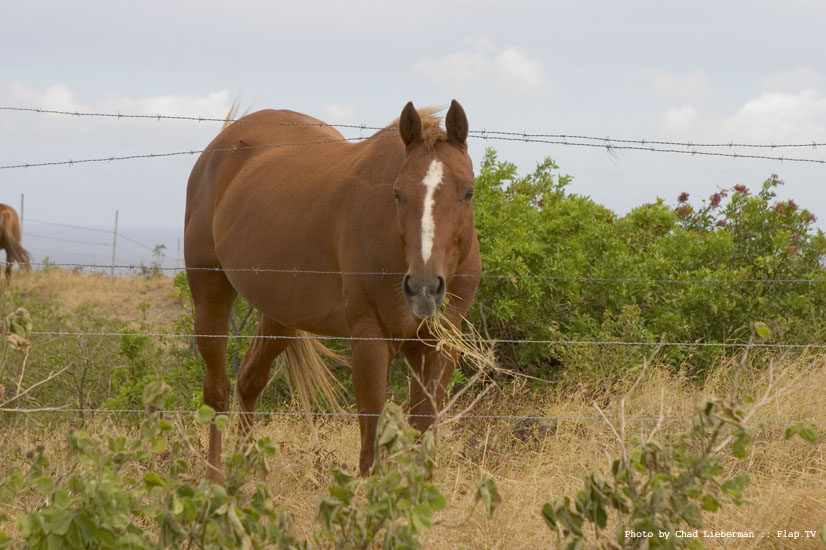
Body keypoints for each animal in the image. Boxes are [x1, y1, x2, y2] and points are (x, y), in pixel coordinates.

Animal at [185, 100, 482, 484]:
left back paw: (249, 471)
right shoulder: (369, 338)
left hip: (281, 316)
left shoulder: (437, 343)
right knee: (217, 392)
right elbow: (371, 433)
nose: (424, 288)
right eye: (397, 193)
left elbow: (423, 426)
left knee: (249, 380)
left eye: (468, 192)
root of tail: (221, 144)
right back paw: (215, 479)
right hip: (210, 293)